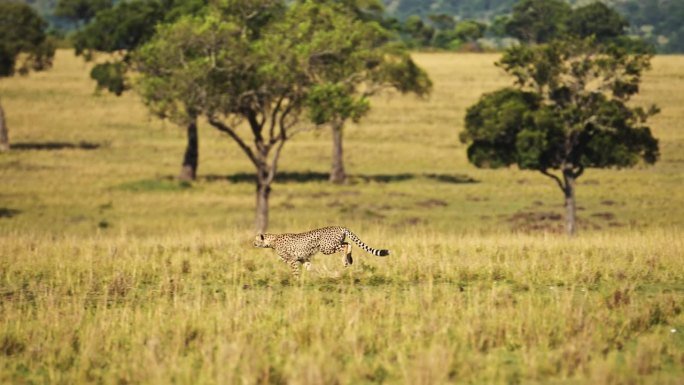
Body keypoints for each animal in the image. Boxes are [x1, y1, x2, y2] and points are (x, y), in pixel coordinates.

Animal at [252, 225, 390, 276]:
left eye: (256, 240)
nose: (252, 243)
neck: (273, 240)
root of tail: (340, 227)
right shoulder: (303, 259)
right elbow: (309, 268)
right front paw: (315, 276)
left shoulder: (292, 260)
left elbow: (295, 271)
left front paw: (296, 281)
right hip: (333, 244)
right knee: (348, 244)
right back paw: (349, 260)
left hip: (326, 247)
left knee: (345, 246)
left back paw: (345, 261)